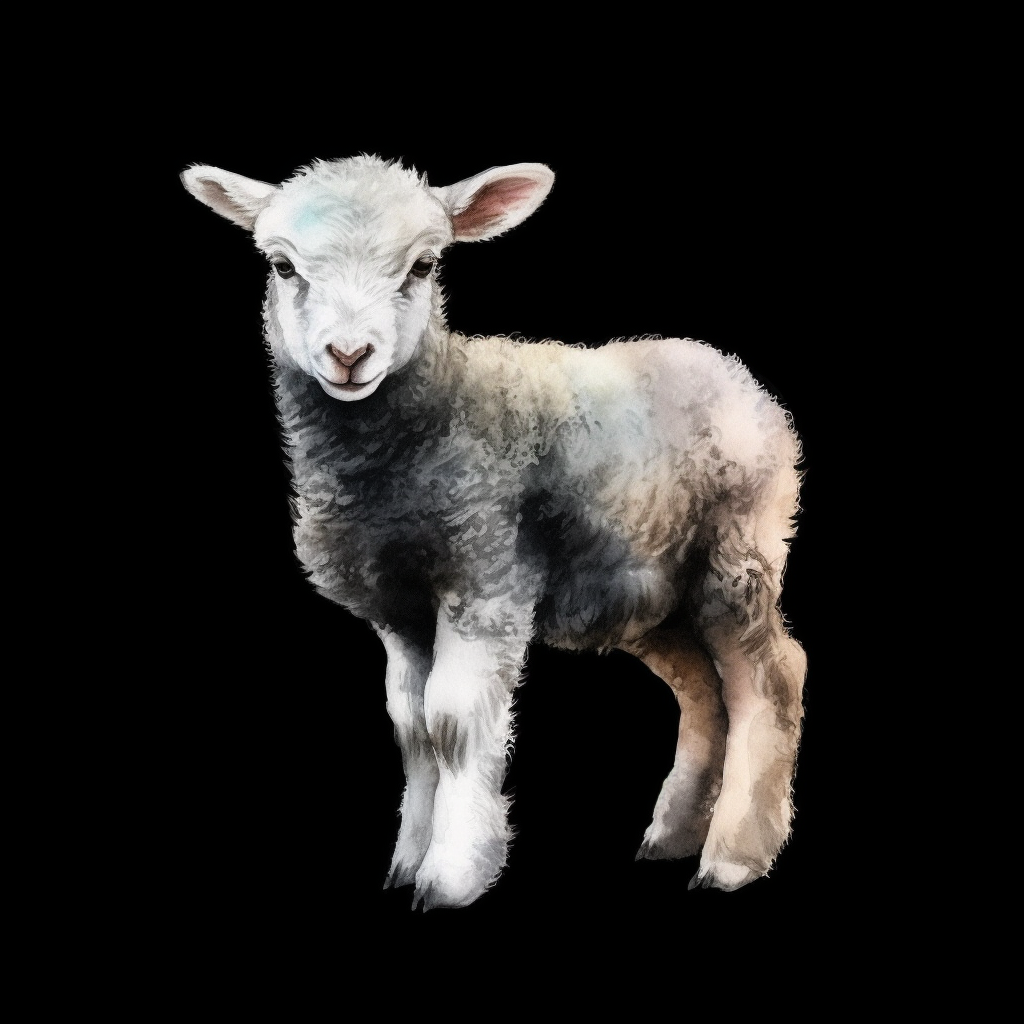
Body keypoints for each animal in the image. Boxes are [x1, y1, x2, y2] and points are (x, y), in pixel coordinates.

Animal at [182, 154, 808, 910]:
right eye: (282, 266)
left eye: (423, 266)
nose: (349, 353)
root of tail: (735, 373)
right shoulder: (399, 612)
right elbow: (412, 728)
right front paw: (406, 862)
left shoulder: (484, 574)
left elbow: (452, 724)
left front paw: (452, 875)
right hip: (646, 589)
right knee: (702, 689)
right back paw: (670, 836)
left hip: (736, 554)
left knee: (770, 680)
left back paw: (733, 858)